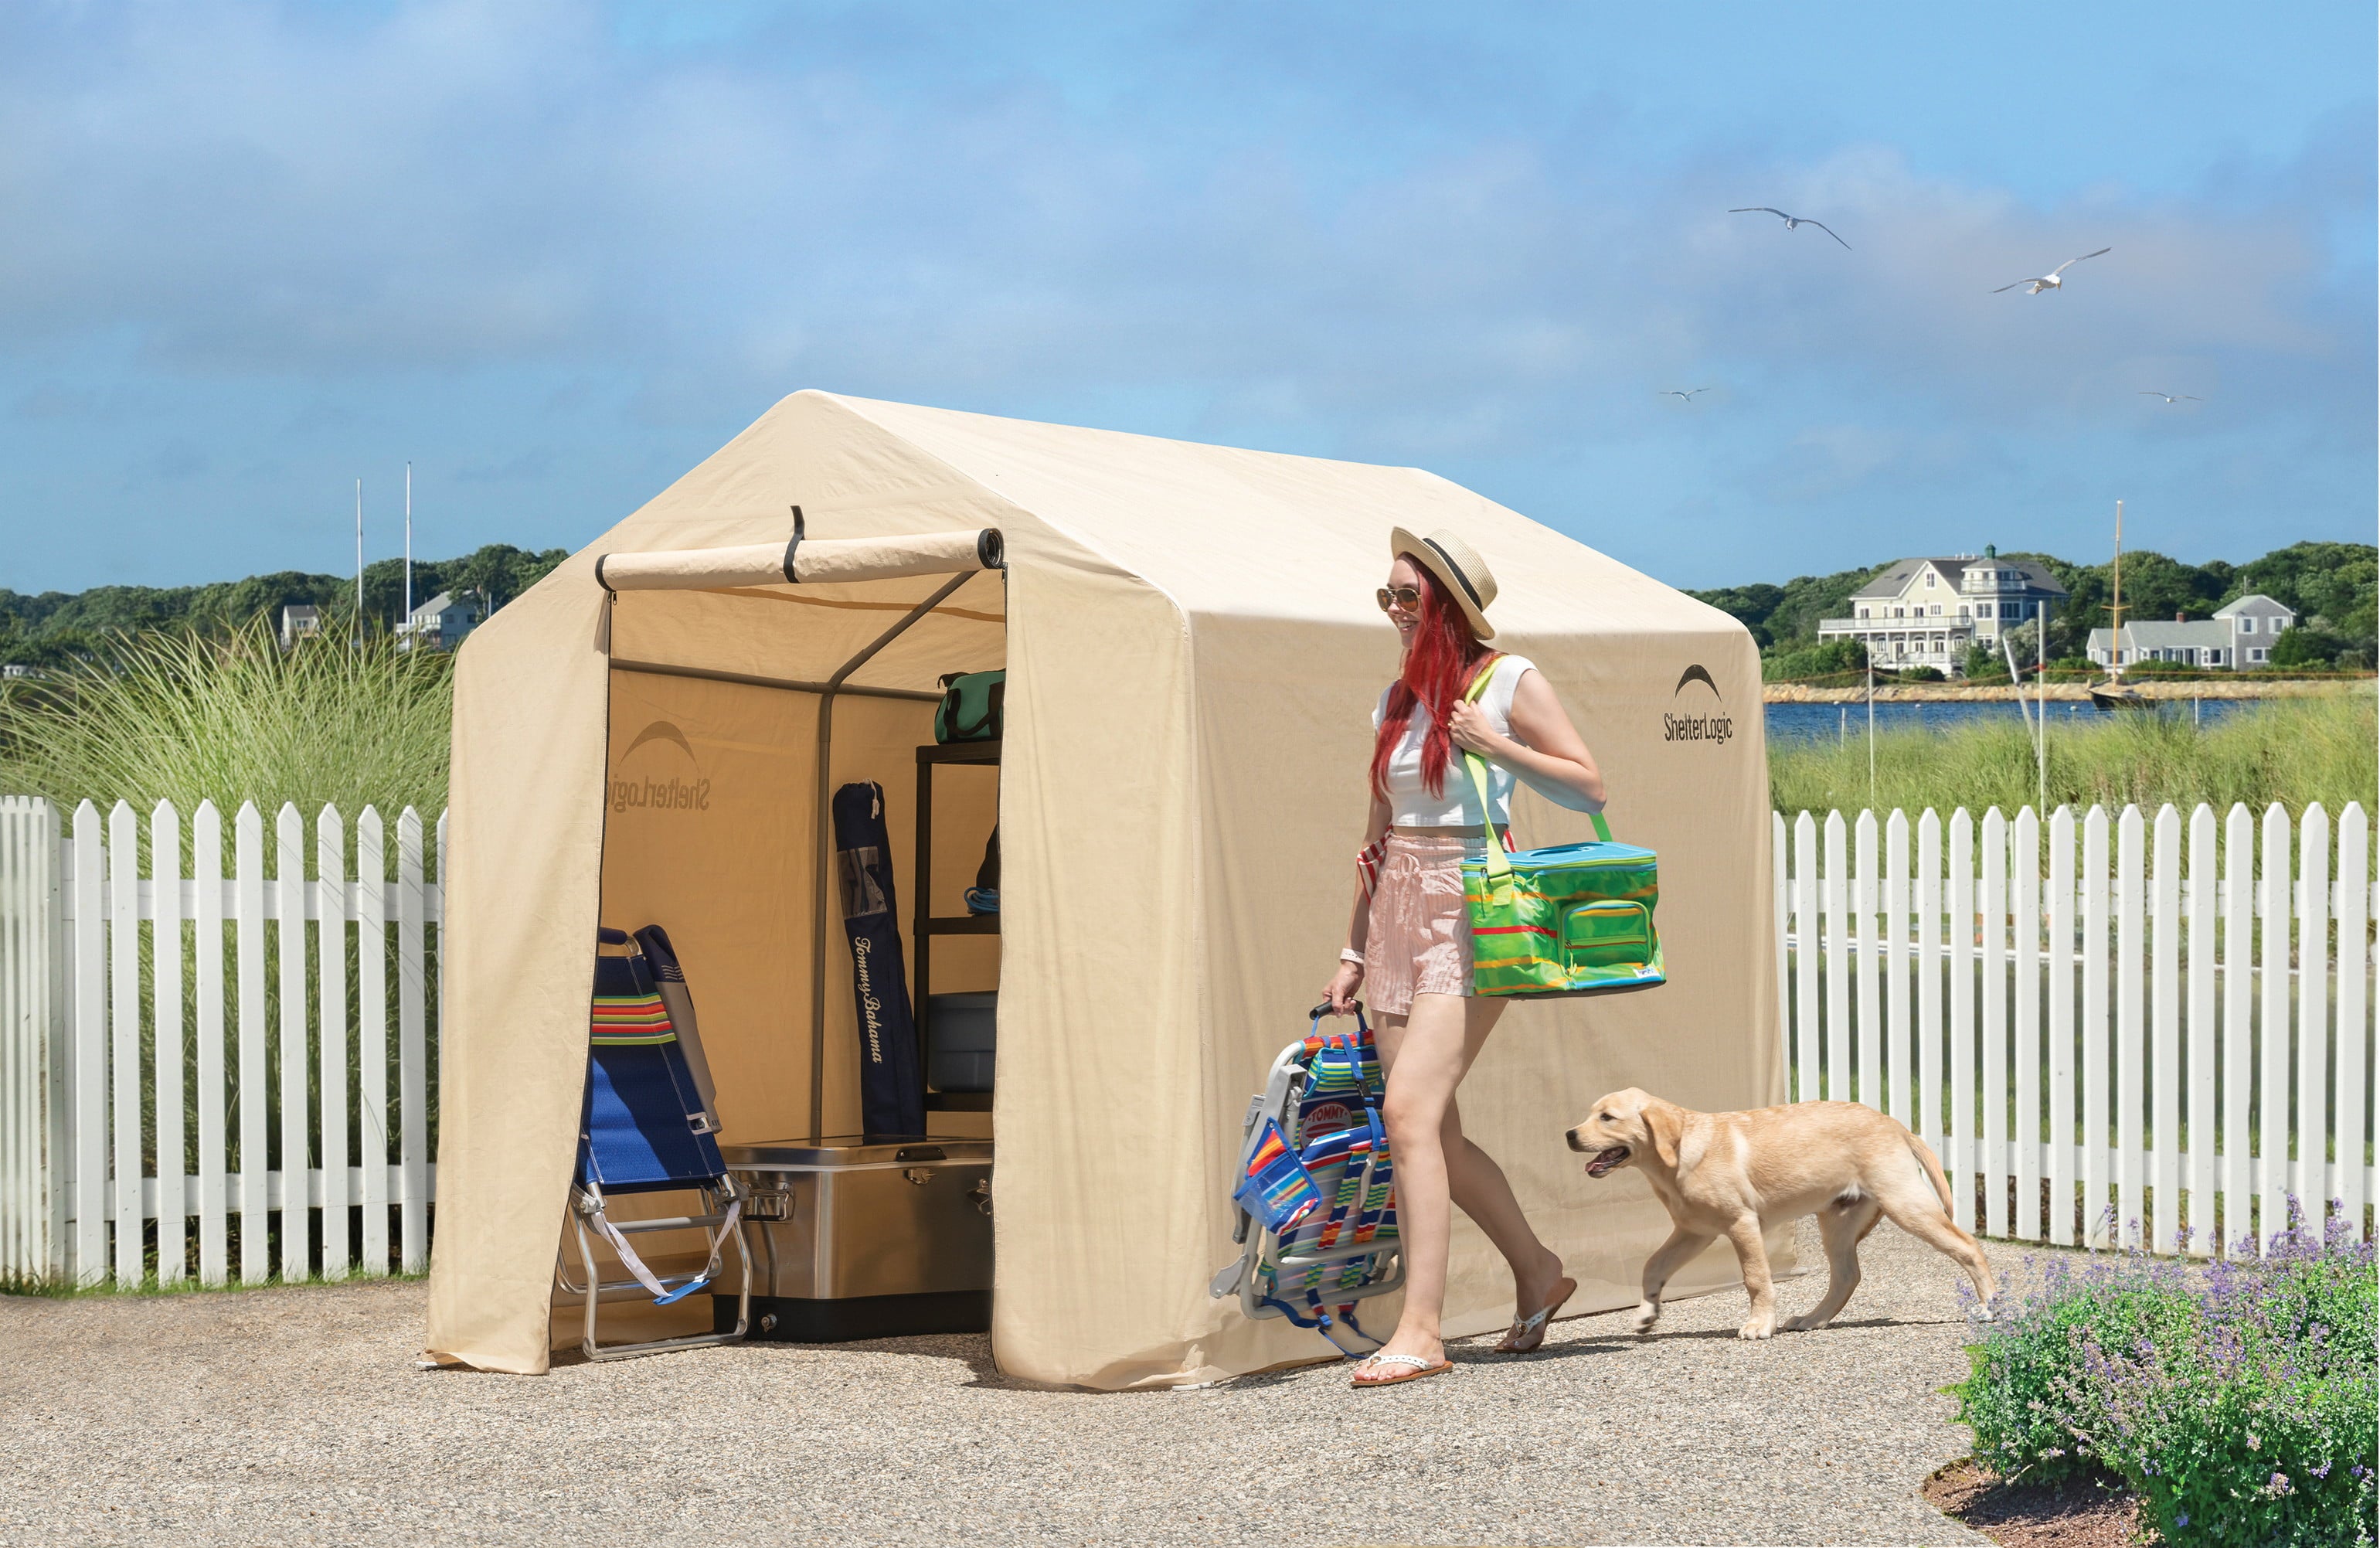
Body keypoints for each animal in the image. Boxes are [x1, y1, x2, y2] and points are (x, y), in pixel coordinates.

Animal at [1570, 1081, 1999, 1333]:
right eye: (1591, 1114)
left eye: (1607, 1117)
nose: (1569, 1135)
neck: (1676, 1156)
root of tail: (1897, 1126)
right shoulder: (1694, 1232)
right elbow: (1652, 1266)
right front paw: (1647, 1314)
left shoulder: (1741, 1224)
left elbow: (1756, 1278)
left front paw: (1760, 1325)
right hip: (1838, 1221)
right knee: (1847, 1276)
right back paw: (1813, 1319)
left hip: (1905, 1204)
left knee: (1968, 1246)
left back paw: (1989, 1307)